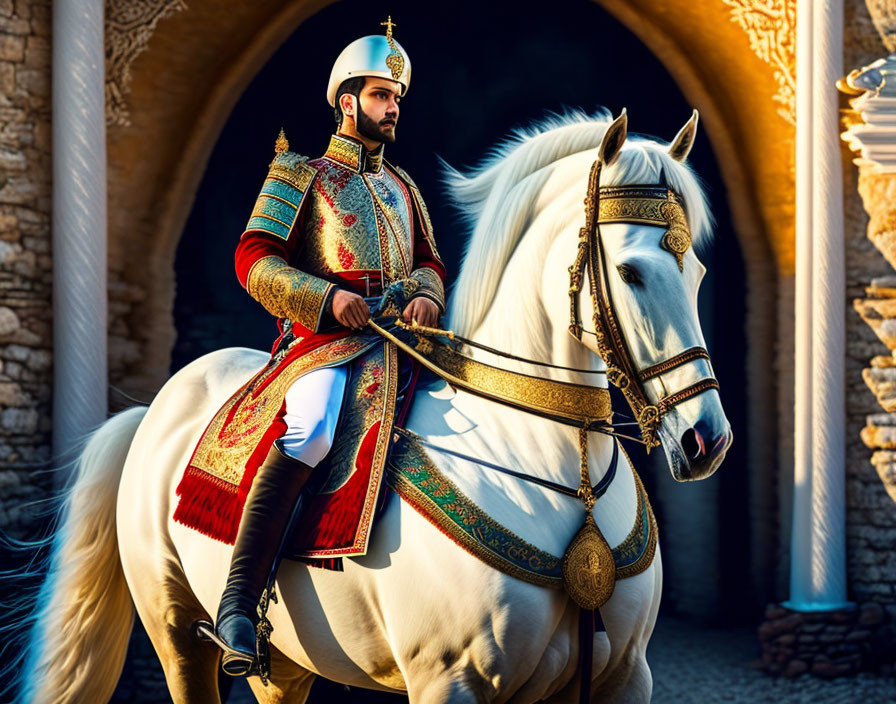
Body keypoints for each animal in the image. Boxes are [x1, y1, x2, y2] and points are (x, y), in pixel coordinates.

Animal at [12, 110, 728, 704]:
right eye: (630, 272)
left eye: (697, 272)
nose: (705, 440)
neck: (556, 475)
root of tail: (158, 407)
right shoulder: (448, 681)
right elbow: (258, 255)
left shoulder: (624, 678)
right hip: (175, 628)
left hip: (287, 659)